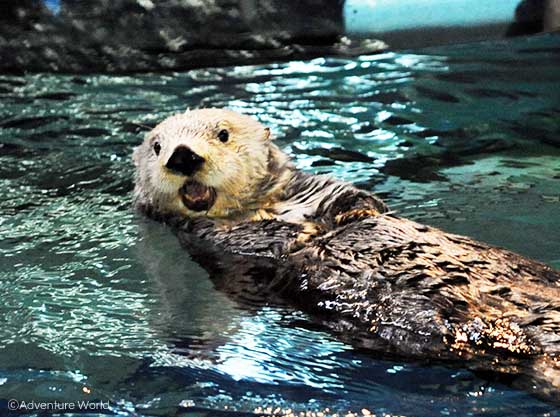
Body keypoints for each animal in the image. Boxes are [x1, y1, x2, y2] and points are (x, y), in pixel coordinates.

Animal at [133, 108, 560, 401]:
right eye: (158, 147)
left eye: (222, 134)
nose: (182, 157)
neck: (262, 209)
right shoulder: (214, 241)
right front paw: (298, 237)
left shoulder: (316, 189)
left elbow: (355, 200)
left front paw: (353, 216)